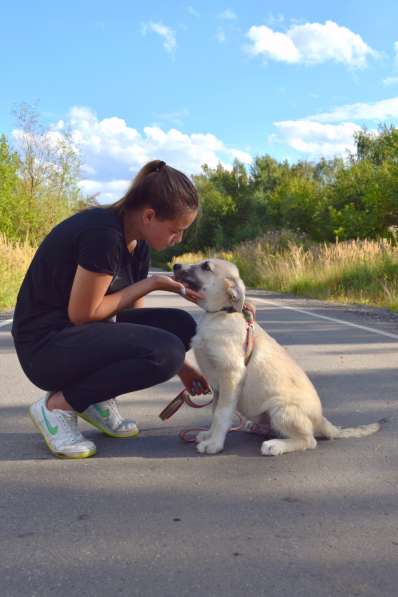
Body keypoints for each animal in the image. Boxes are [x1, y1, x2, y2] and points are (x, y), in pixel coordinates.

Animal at [173, 258, 380, 456]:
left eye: (206, 267)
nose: (175, 265)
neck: (222, 314)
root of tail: (321, 420)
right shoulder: (217, 385)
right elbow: (214, 410)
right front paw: (209, 435)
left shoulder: (231, 376)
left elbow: (221, 414)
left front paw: (215, 444)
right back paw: (260, 428)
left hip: (280, 408)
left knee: (309, 440)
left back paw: (275, 446)